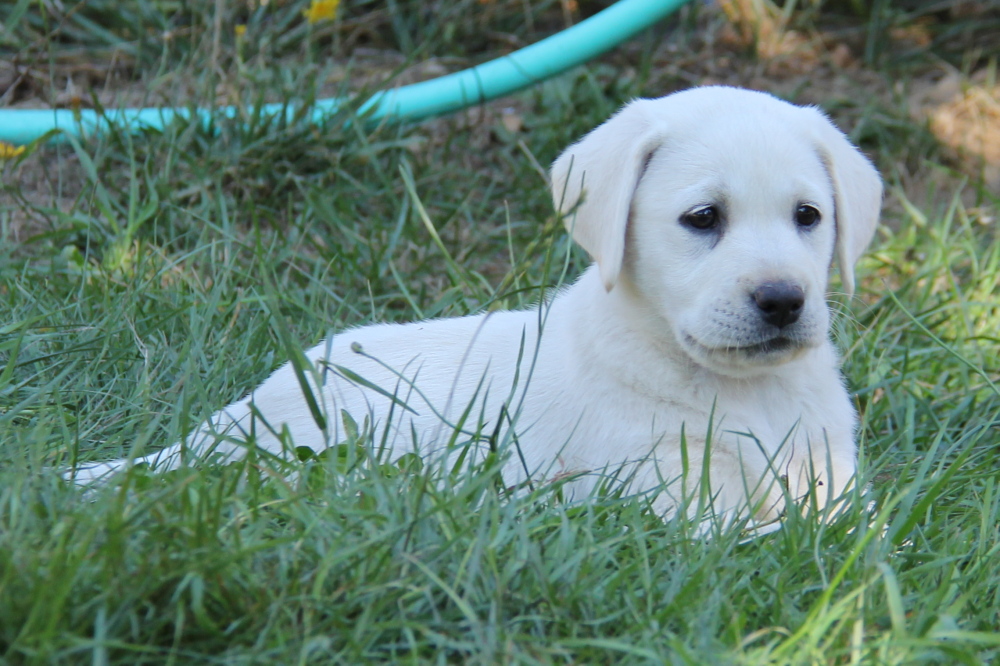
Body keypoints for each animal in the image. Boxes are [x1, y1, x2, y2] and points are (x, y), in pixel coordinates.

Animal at [68, 85, 884, 528]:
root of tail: (232, 421)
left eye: (808, 216)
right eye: (704, 218)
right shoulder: (672, 500)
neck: (747, 393)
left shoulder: (833, 476)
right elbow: (772, 544)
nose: (782, 299)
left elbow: (868, 541)